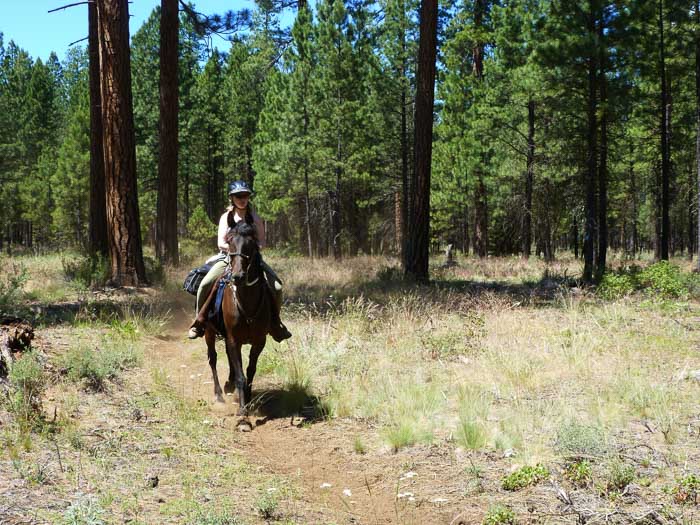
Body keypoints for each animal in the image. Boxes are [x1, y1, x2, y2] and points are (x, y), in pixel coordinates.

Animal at [202, 215, 270, 420]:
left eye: (251, 244)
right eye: (230, 242)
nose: (238, 276)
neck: (246, 300)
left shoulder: (259, 341)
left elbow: (250, 371)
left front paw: (247, 397)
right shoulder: (233, 338)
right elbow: (241, 375)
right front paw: (242, 411)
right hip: (209, 332)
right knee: (213, 358)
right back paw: (219, 394)